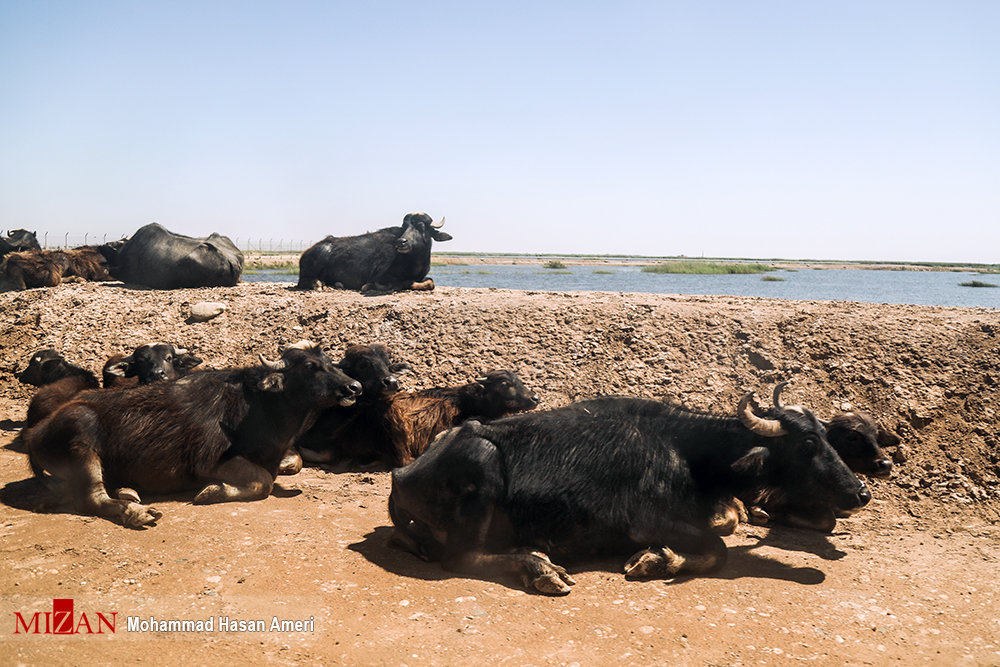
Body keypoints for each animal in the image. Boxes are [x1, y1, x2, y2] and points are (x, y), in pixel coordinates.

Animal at [294, 211, 452, 290]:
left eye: (420, 225)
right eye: (404, 226)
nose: (401, 242)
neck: (415, 260)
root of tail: (305, 254)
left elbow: (430, 282)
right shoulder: (381, 276)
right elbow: (402, 283)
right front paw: (370, 286)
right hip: (319, 257)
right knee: (302, 281)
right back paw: (318, 284)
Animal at [386, 384, 872, 596]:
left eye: (827, 436)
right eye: (807, 444)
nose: (861, 493)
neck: (688, 451)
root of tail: (401, 475)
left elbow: (724, 532)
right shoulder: (647, 521)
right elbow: (718, 550)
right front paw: (656, 561)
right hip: (482, 464)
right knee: (461, 558)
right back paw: (540, 567)